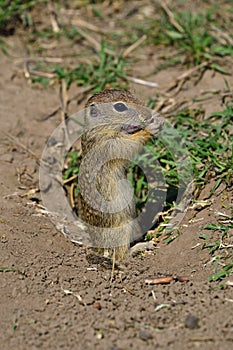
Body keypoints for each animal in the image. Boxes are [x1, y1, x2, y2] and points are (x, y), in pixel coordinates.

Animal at [77, 89, 164, 262]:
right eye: (119, 107)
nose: (148, 113)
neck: (100, 128)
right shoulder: (110, 145)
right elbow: (130, 145)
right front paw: (151, 127)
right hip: (122, 230)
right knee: (120, 256)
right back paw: (140, 247)